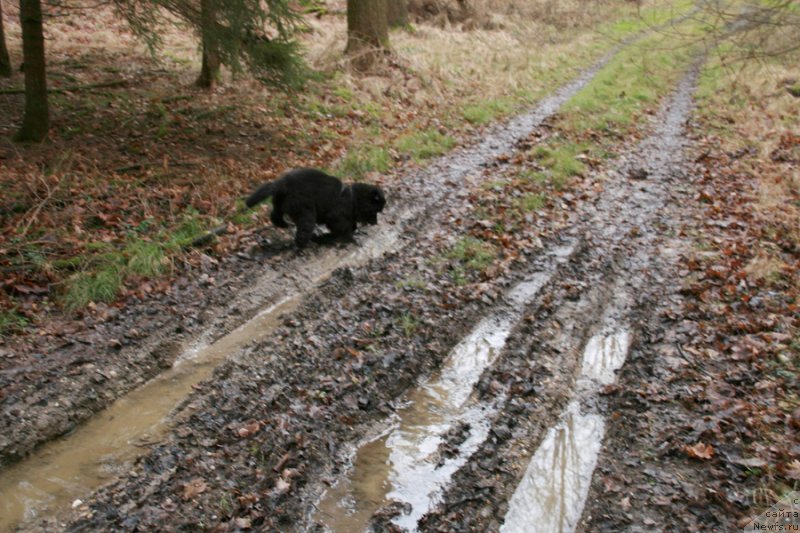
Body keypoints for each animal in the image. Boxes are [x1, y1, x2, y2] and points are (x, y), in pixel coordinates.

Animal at [245, 168, 386, 247]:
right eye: (376, 210)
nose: (376, 223)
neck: (352, 199)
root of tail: (281, 184)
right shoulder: (336, 216)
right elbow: (345, 228)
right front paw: (352, 239)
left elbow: (352, 225)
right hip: (305, 211)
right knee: (303, 230)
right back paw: (306, 245)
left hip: (281, 203)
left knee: (275, 215)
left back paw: (284, 225)